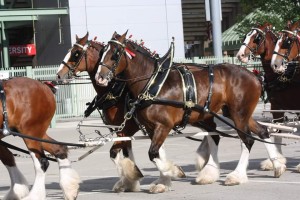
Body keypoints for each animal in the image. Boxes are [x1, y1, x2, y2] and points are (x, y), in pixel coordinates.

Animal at [95, 30, 286, 192]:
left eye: (115, 54)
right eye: (102, 52)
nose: (100, 77)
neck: (153, 83)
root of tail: (255, 75)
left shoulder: (163, 125)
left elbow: (153, 153)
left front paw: (172, 172)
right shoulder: (149, 128)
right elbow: (152, 152)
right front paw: (160, 180)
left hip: (239, 114)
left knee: (247, 140)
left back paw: (236, 176)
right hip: (235, 114)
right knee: (262, 131)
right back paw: (277, 166)